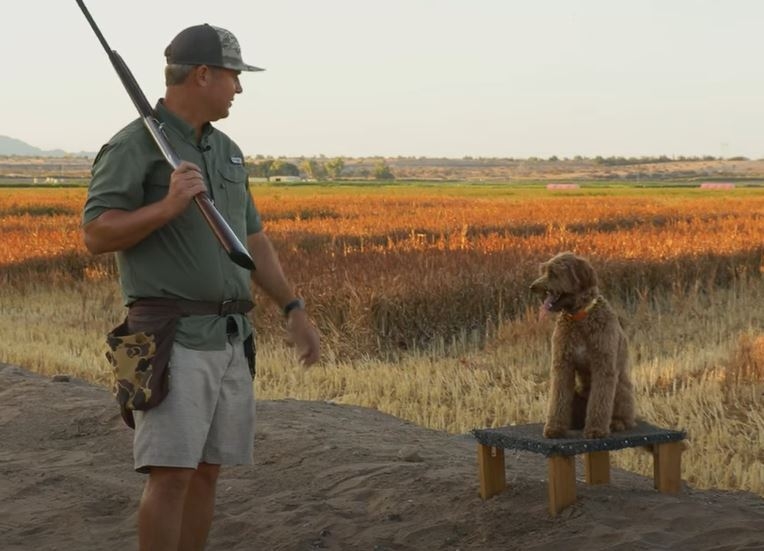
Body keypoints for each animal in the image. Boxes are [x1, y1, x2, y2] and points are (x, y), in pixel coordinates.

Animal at [528, 251, 636, 440]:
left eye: (554, 273)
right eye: (543, 270)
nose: (533, 287)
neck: (579, 317)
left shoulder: (604, 367)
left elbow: (599, 402)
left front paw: (596, 430)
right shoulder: (563, 366)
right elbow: (558, 400)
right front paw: (554, 428)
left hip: (620, 389)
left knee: (625, 417)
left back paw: (616, 423)